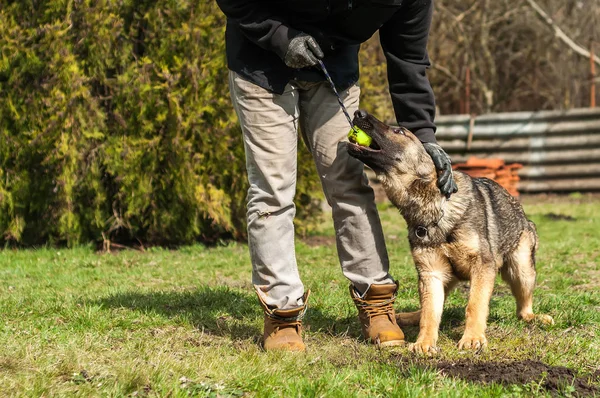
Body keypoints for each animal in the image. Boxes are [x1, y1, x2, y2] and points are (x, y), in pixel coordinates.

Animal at [346, 109, 552, 354]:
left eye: (399, 131)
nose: (358, 112)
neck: (435, 205)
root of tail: (524, 216)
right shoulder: (431, 272)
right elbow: (430, 313)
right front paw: (424, 343)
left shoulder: (483, 267)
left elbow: (475, 305)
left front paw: (472, 338)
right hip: (445, 278)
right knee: (427, 307)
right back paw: (409, 316)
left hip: (521, 271)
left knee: (523, 308)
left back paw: (535, 317)